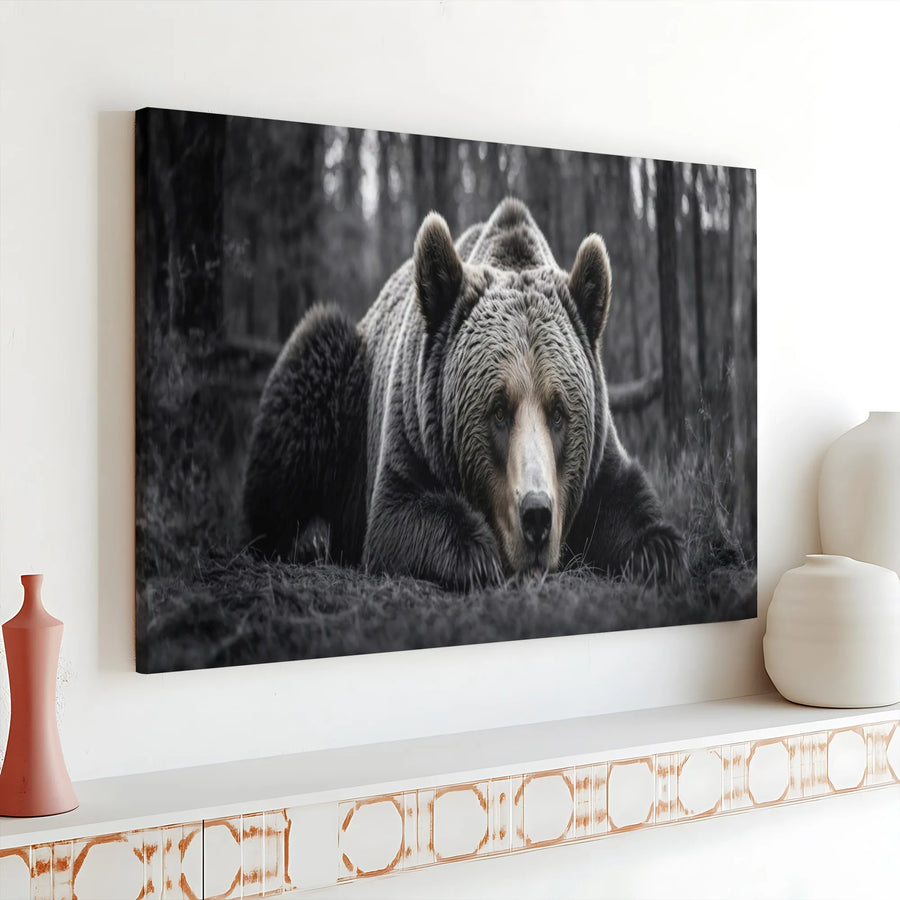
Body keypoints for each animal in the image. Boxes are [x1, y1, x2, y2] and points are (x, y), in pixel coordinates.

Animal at [242, 198, 684, 590]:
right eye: (499, 410)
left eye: (558, 411)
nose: (537, 516)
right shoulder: (412, 431)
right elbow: (398, 517)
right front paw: (477, 553)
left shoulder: (597, 456)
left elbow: (628, 505)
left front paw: (657, 553)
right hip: (346, 393)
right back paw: (287, 543)